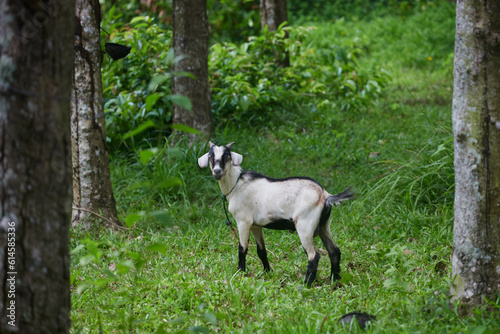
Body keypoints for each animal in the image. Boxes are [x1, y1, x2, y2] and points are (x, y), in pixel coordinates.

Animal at [197, 142, 354, 288]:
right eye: (210, 156)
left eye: (227, 156)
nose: (217, 171)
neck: (236, 185)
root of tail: (325, 195)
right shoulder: (255, 225)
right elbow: (261, 250)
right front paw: (268, 272)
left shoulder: (243, 221)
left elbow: (242, 248)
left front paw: (240, 273)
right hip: (323, 225)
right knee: (334, 251)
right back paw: (335, 280)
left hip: (305, 225)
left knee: (313, 256)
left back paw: (306, 284)